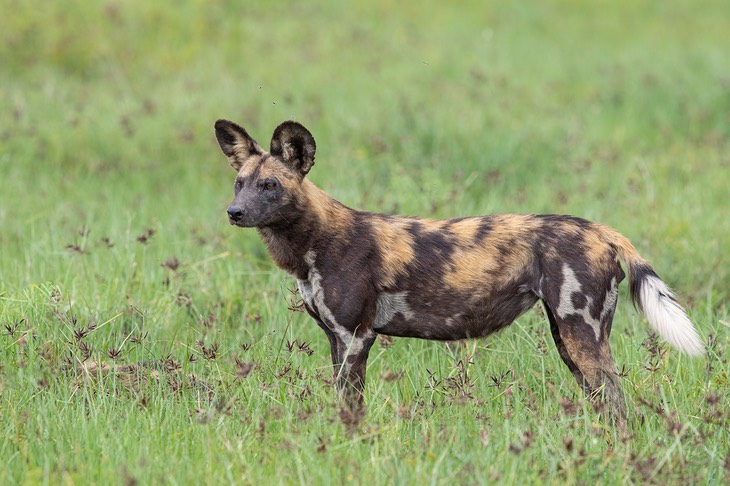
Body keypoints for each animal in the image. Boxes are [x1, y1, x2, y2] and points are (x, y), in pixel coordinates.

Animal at [213, 118, 704, 422]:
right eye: (239, 183)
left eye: (269, 185)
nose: (234, 212)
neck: (315, 241)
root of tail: (600, 229)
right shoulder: (337, 339)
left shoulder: (356, 338)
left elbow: (351, 407)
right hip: (569, 341)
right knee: (606, 404)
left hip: (581, 335)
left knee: (620, 407)